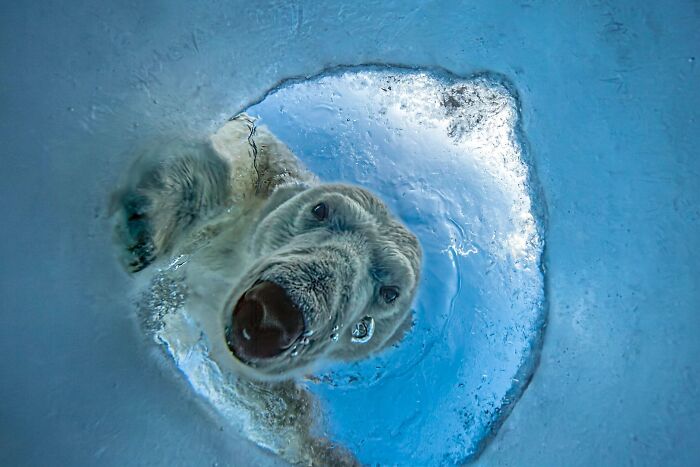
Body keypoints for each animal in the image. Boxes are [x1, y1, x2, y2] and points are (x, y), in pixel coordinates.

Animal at [112, 114, 422, 465]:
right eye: (320, 209)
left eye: (390, 292)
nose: (275, 312)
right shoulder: (263, 167)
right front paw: (148, 222)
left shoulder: (266, 394)